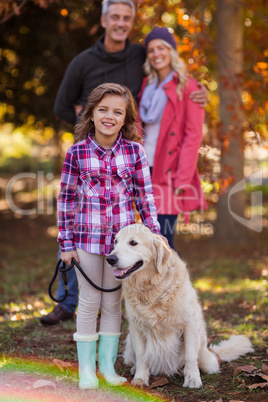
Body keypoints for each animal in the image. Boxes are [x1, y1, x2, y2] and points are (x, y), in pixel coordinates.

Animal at [107, 225, 253, 388]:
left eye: (133, 243)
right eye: (115, 241)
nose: (110, 259)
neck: (151, 289)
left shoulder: (189, 324)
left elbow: (190, 356)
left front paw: (193, 379)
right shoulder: (136, 327)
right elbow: (141, 356)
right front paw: (140, 379)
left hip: (204, 352)